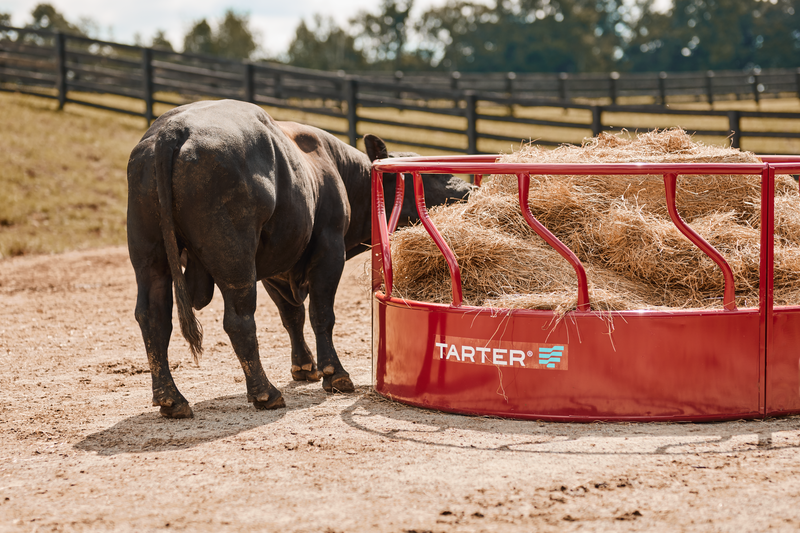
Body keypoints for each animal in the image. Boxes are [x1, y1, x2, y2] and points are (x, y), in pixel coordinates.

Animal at [126, 99, 471, 419]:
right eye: (429, 175)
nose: (466, 189)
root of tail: (174, 128)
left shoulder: (276, 267)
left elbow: (292, 315)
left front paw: (305, 365)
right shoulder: (328, 251)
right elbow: (321, 314)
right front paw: (334, 373)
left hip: (149, 256)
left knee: (153, 317)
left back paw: (171, 398)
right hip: (234, 259)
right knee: (238, 320)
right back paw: (264, 392)